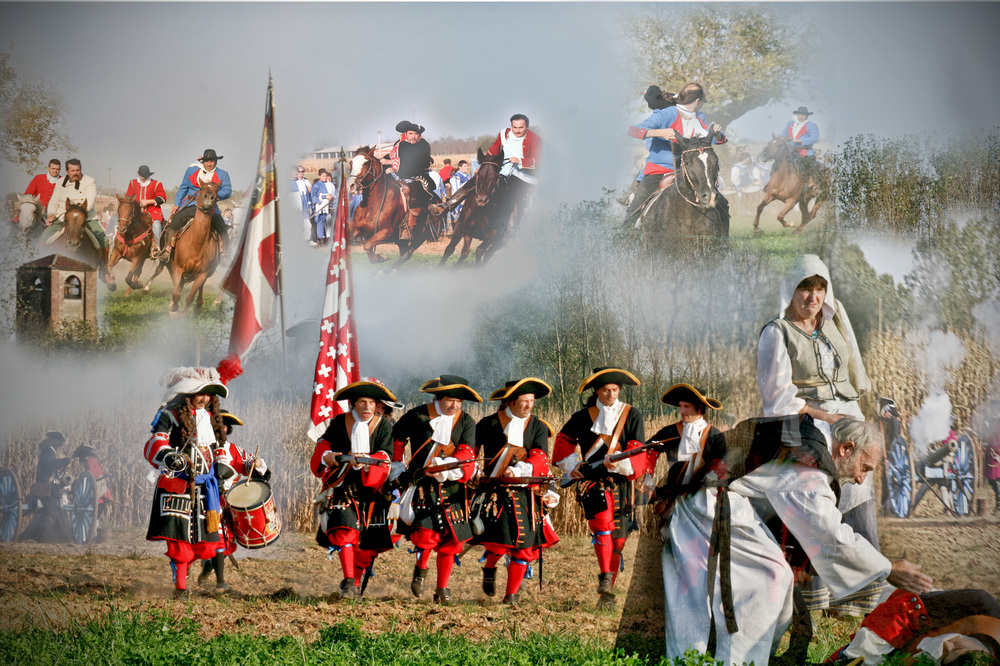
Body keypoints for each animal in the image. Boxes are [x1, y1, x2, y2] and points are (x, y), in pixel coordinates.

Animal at [145, 180, 221, 316]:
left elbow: (190, 297)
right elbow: (176, 293)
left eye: (217, 190)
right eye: (201, 188)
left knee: (199, 288)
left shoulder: (203, 274)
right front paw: (173, 307)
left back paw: (198, 306)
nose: (209, 198)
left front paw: (182, 316)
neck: (196, 244)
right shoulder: (177, 268)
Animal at [346, 143, 432, 272]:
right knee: (404, 252)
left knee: (407, 254)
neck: (373, 204)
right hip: (400, 240)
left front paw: (381, 257)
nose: (351, 185)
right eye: (351, 163)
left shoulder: (386, 232)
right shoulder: (357, 228)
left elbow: (367, 246)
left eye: (366, 163)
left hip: (419, 237)